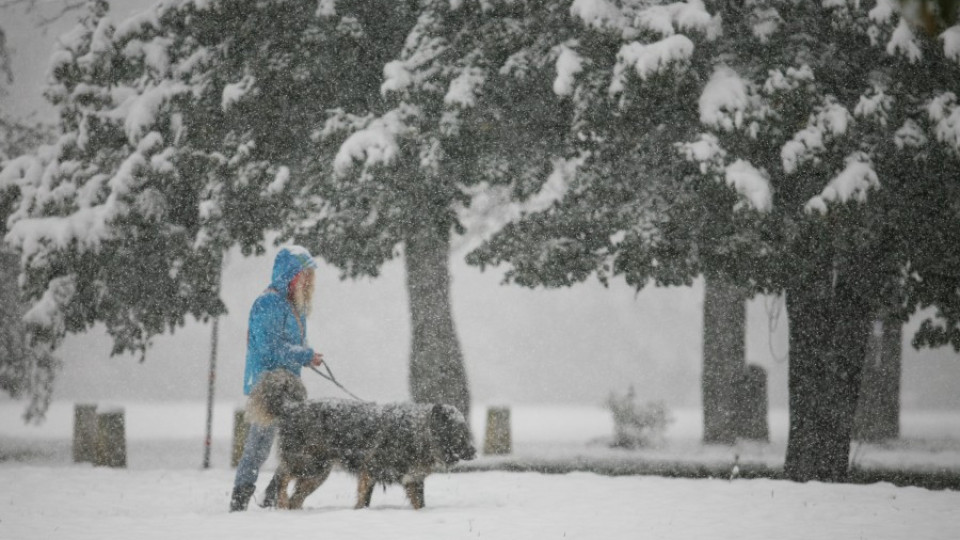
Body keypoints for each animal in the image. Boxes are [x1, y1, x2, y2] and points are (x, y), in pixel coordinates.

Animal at [246, 372, 474, 510]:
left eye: (466, 430)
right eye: (458, 431)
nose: (473, 451)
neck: (416, 433)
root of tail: (291, 407)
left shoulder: (413, 480)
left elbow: (419, 504)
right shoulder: (369, 471)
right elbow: (363, 500)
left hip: (317, 472)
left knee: (296, 496)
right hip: (306, 463)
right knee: (282, 477)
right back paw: (282, 501)